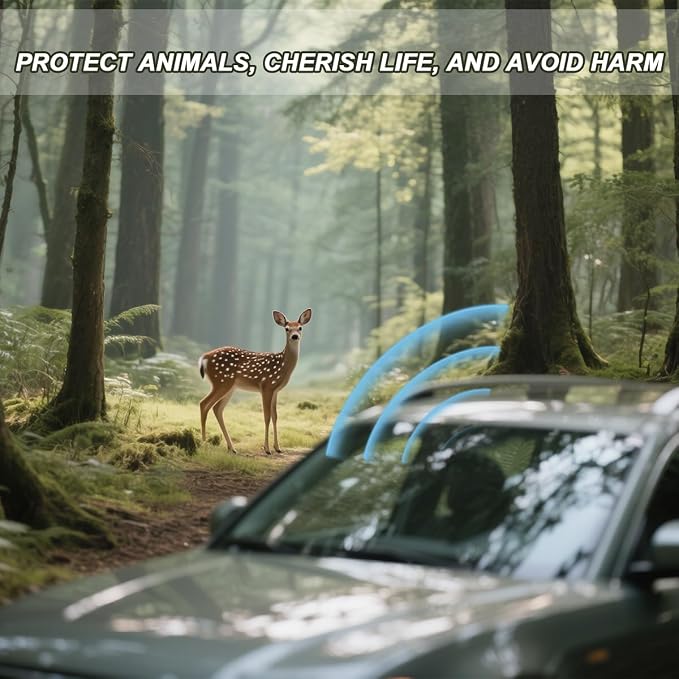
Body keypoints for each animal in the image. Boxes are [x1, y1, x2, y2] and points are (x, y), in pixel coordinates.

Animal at [198, 308, 312, 455]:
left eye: (300, 328)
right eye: (287, 329)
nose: (295, 336)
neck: (282, 366)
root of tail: (205, 357)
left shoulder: (275, 390)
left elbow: (275, 416)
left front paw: (278, 447)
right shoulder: (266, 386)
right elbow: (266, 416)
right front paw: (267, 449)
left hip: (229, 386)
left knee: (217, 408)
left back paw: (232, 448)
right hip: (221, 381)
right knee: (204, 404)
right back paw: (204, 444)